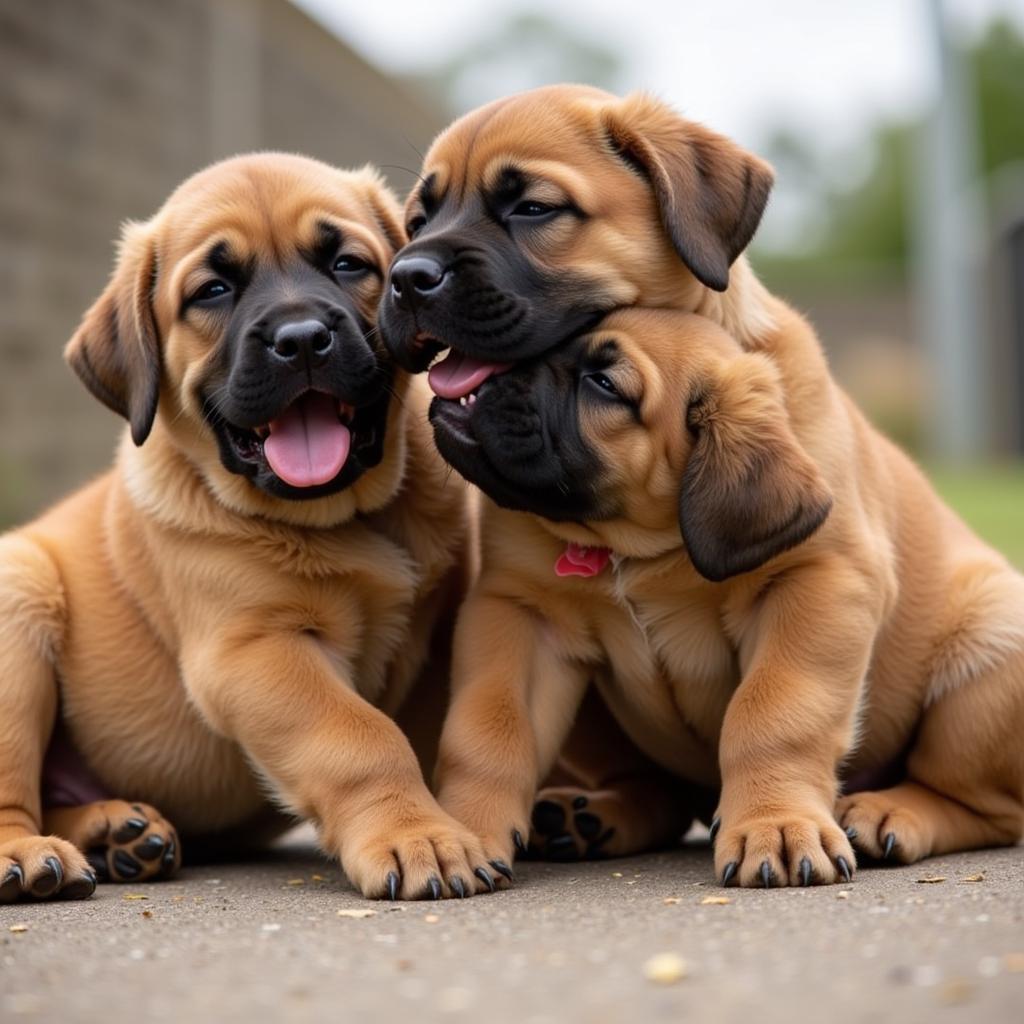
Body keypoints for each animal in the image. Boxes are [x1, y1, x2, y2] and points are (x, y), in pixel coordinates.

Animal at [0, 151, 499, 905]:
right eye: (212, 290)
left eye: (348, 264)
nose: (302, 340)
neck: (348, 516)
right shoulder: (255, 649)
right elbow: (360, 736)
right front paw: (418, 835)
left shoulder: (438, 634)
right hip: (19, 595)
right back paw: (29, 854)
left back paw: (118, 833)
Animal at [432, 305, 1024, 888]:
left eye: (604, 384)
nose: (488, 378)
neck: (635, 552)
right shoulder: (523, 616)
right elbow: (489, 729)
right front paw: (461, 828)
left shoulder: (815, 587)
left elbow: (771, 714)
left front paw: (776, 823)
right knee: (661, 794)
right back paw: (591, 818)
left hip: (988, 655)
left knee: (985, 808)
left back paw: (887, 812)